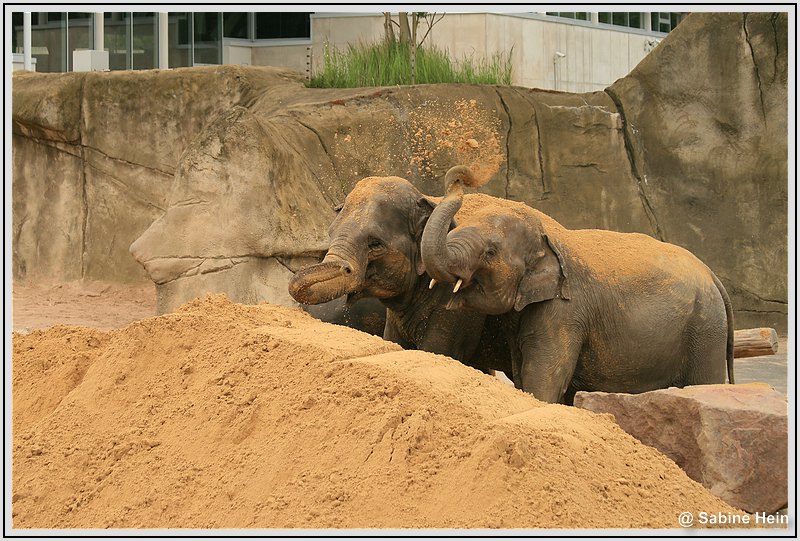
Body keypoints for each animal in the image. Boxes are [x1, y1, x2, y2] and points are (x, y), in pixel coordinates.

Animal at [288, 175, 510, 374]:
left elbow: (438, 351)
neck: (427, 199)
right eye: (330, 233)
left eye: (375, 243)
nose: (345, 268)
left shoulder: (458, 306)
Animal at [422, 167, 736, 402]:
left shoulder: (565, 312)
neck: (550, 238)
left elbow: (544, 378)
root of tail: (713, 276)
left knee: (704, 381)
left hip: (705, 331)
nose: (463, 175)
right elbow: (523, 374)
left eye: (490, 252)